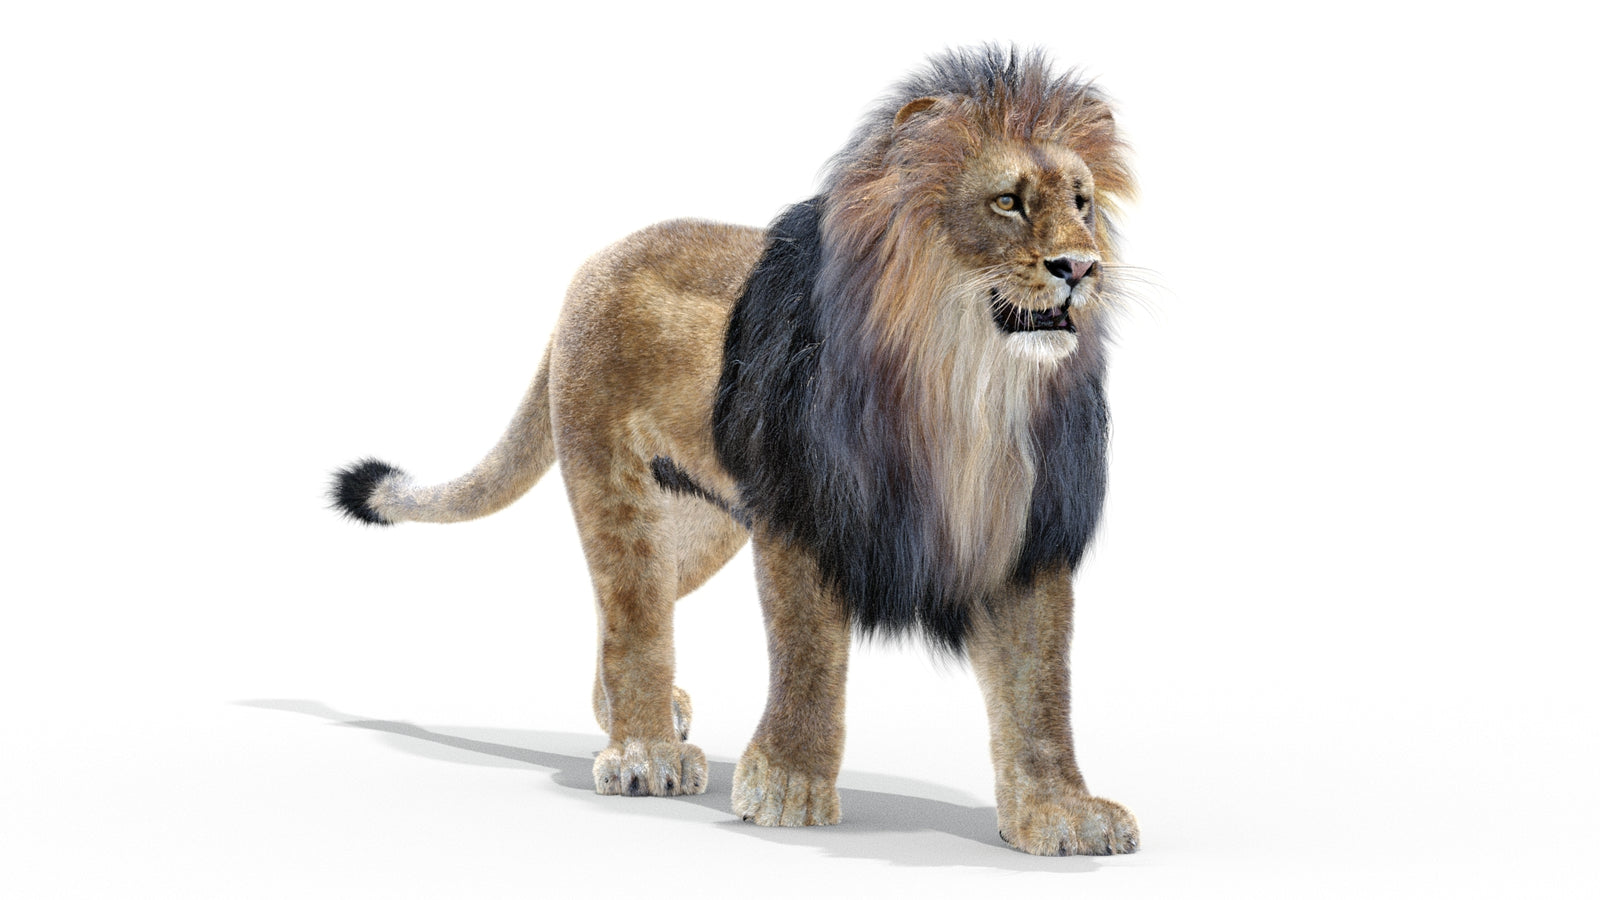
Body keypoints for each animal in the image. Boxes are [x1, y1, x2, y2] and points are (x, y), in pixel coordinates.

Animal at [331, 45, 1140, 856]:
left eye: (1082, 204)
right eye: (1007, 202)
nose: (1081, 267)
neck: (969, 385)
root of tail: (594, 265)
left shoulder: (1029, 533)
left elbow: (1040, 691)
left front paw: (1062, 814)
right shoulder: (804, 514)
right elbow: (808, 659)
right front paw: (788, 788)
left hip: (703, 519)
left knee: (632, 606)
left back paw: (632, 718)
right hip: (614, 486)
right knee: (633, 615)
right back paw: (644, 753)